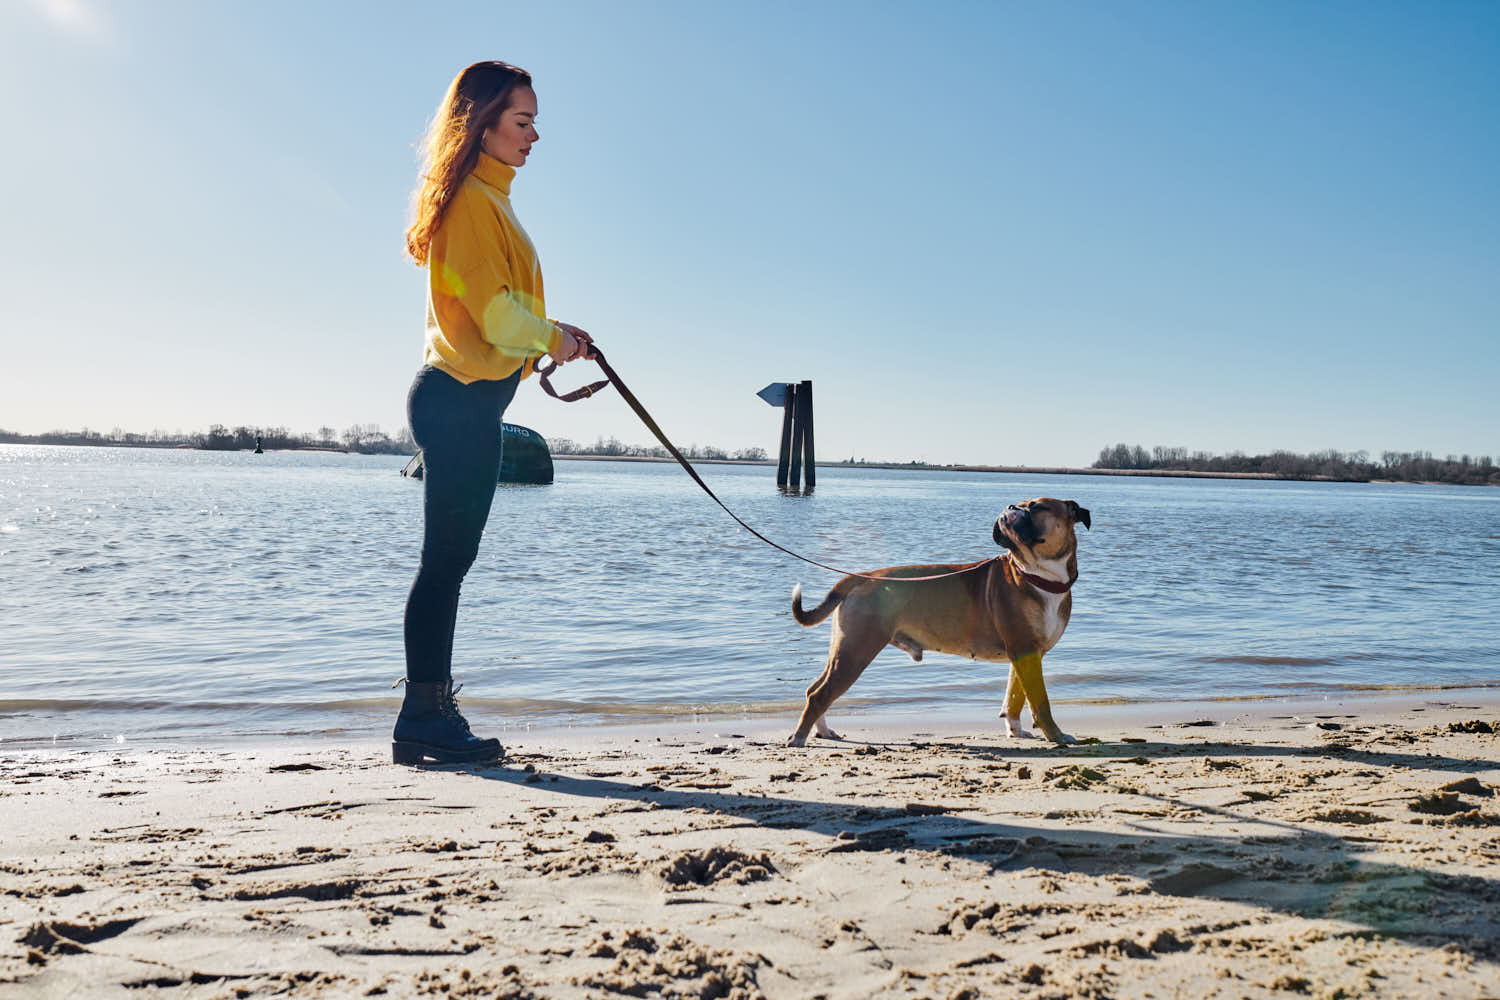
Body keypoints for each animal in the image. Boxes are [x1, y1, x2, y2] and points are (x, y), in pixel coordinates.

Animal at [786, 497, 1092, 746]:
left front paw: (1016, 731)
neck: (1038, 575)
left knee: (815, 690)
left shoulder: (1026, 655)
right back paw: (799, 738)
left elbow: (1014, 697)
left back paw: (822, 731)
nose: (1009, 508)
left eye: (1037, 507)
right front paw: (1056, 736)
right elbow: (1040, 701)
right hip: (855, 651)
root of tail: (860, 577)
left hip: (844, 649)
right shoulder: (1025, 651)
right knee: (820, 694)